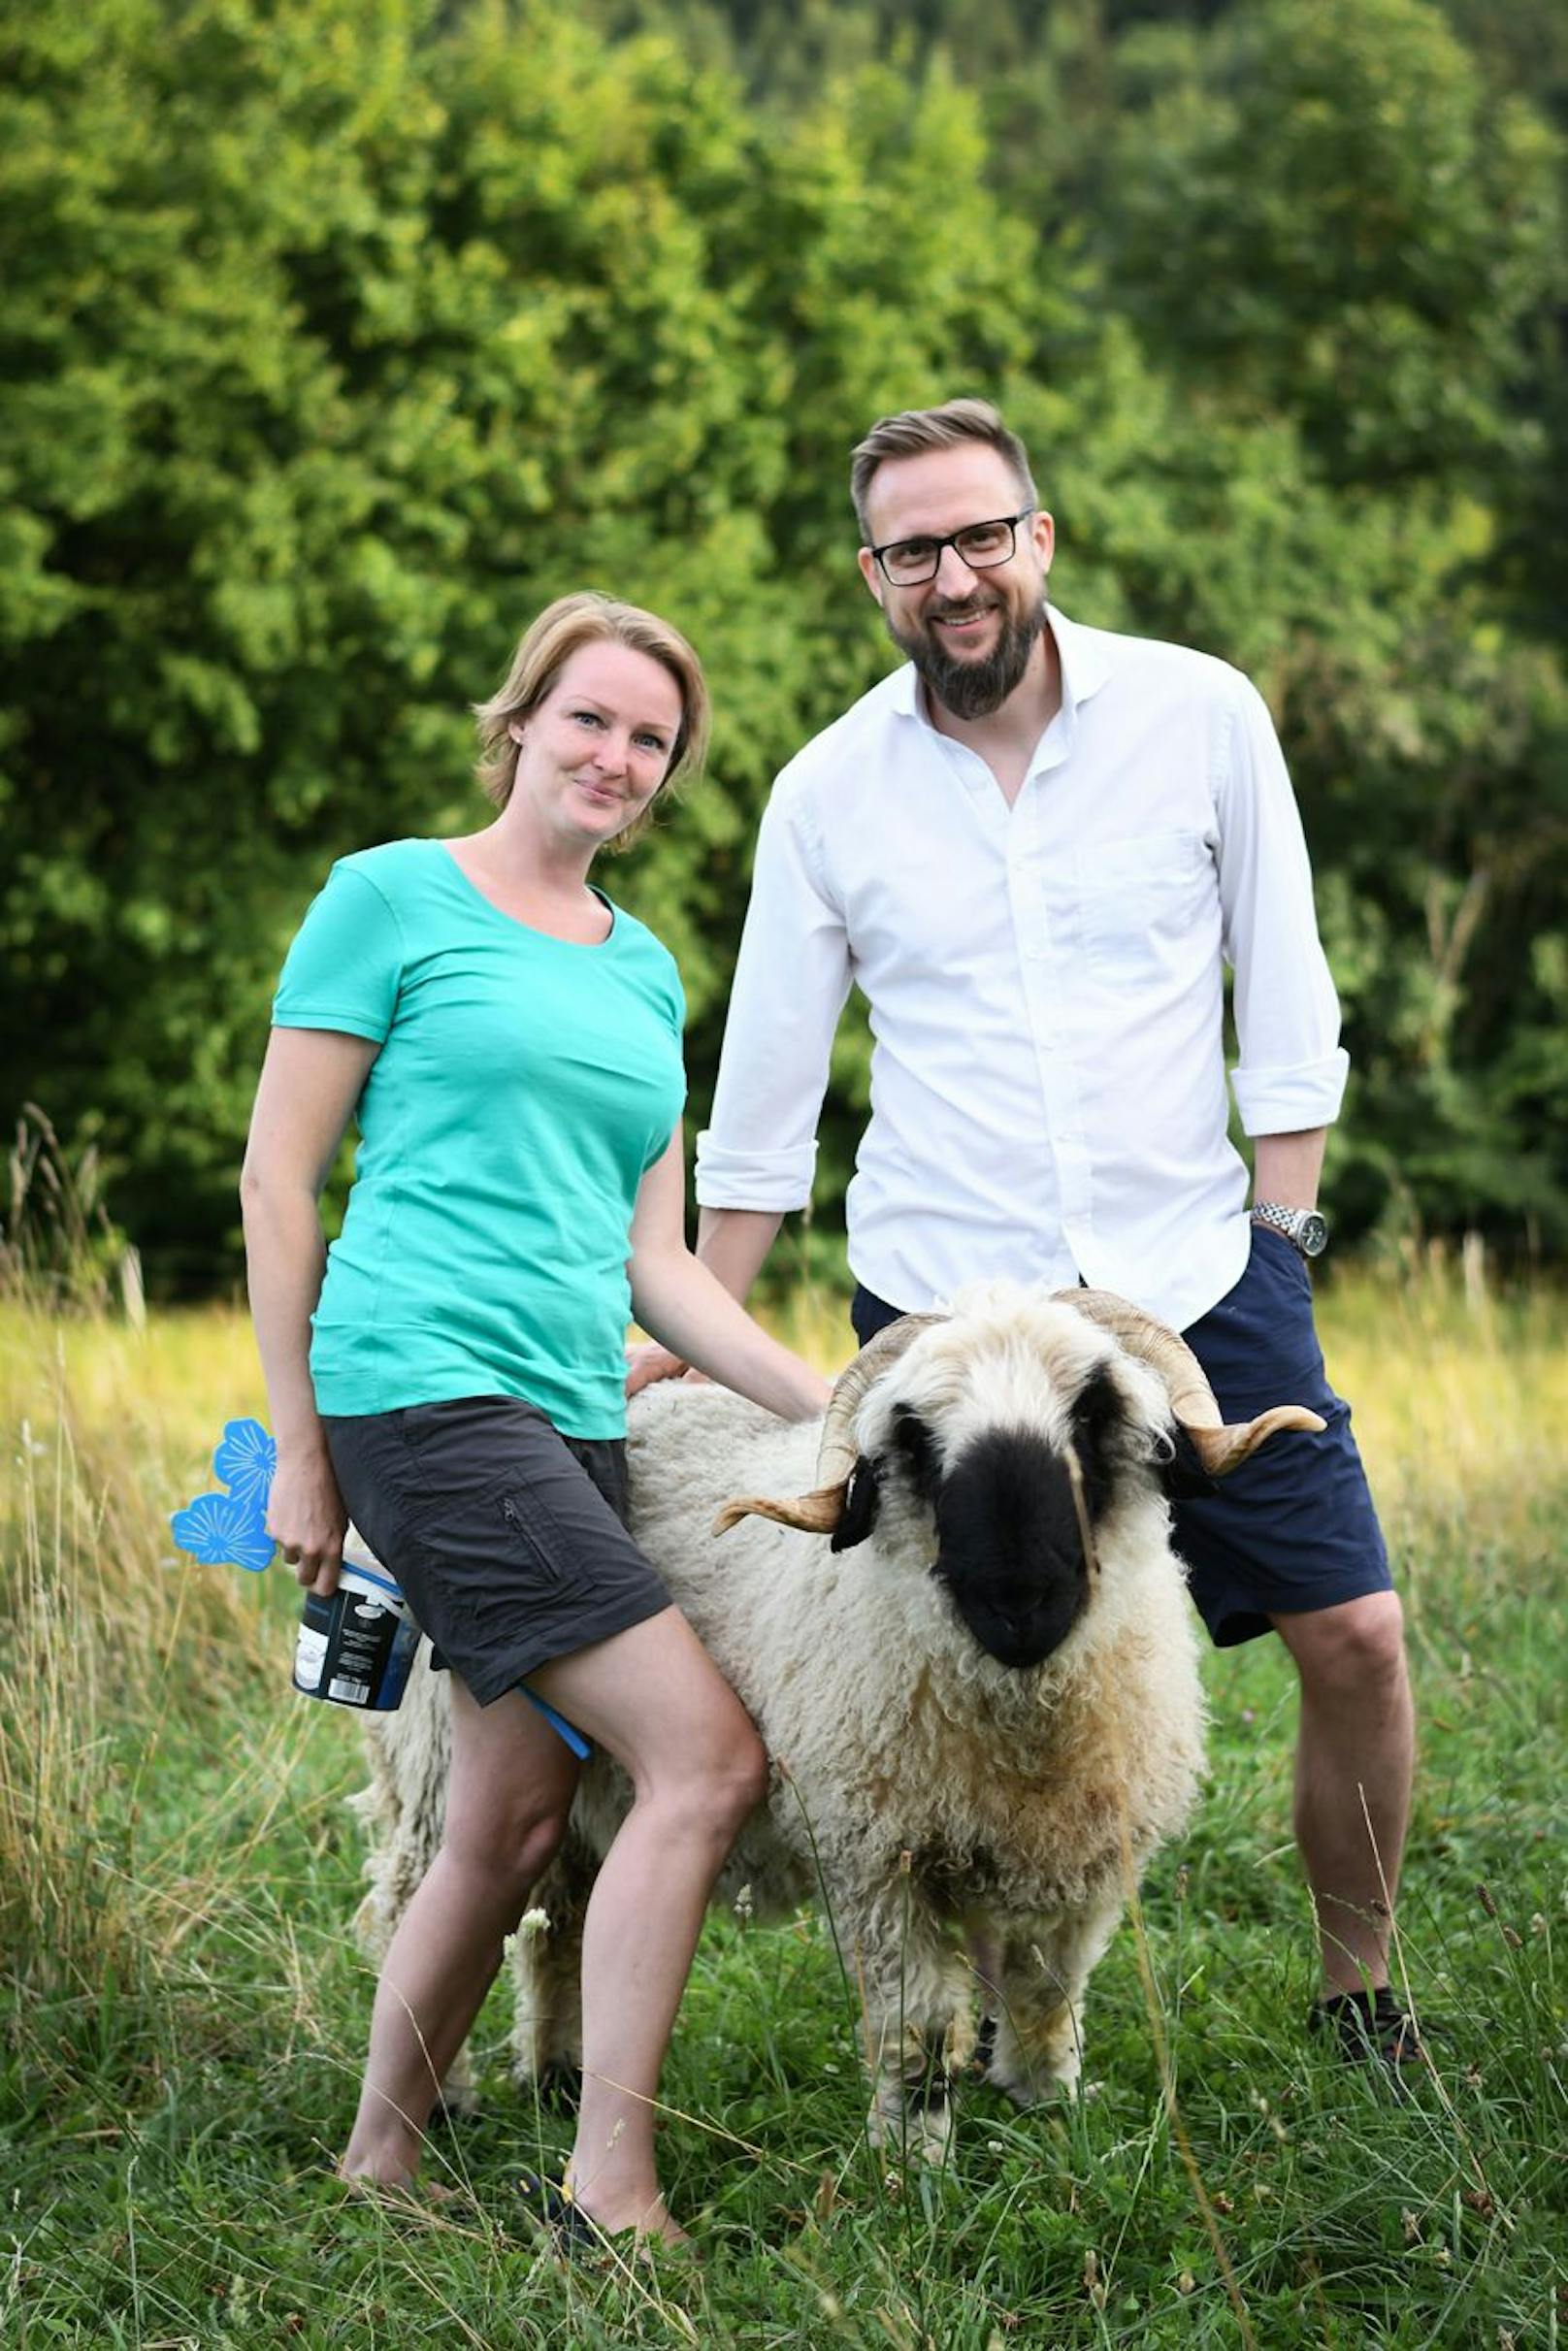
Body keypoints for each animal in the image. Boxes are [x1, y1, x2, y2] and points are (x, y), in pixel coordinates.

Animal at [349, 1288, 1316, 2163]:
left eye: (1093, 1409)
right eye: (916, 1438)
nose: (1020, 1596)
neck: (1021, 1713)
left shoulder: (1084, 1858)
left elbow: (1047, 1993)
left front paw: (1049, 2110)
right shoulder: (877, 1858)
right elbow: (918, 2029)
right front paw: (914, 2164)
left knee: (564, 1922)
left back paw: (560, 2078)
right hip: (438, 1765)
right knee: (414, 1907)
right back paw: (448, 2101)